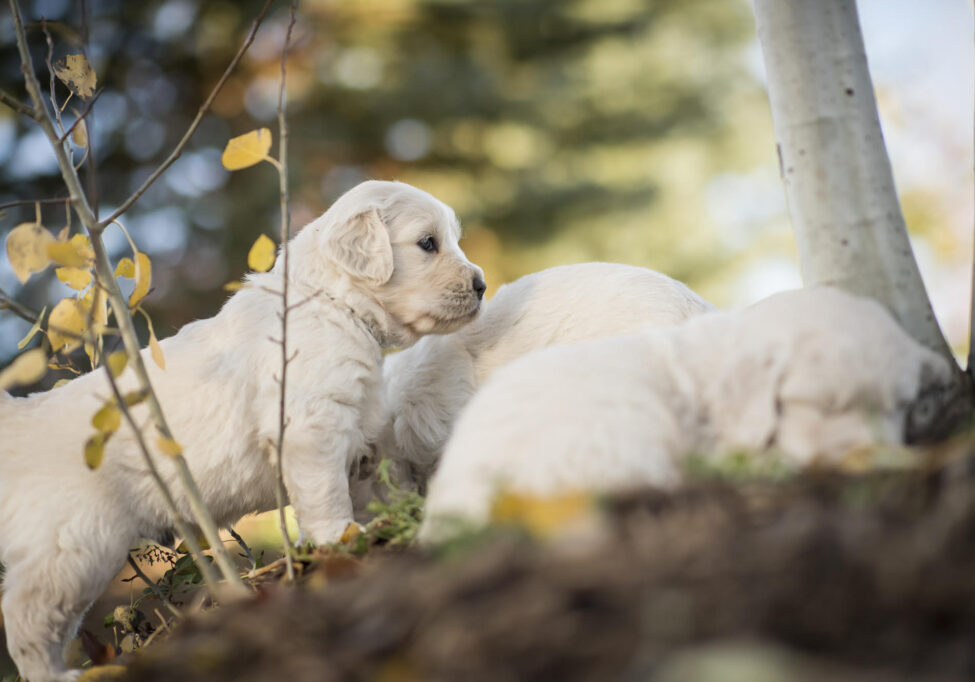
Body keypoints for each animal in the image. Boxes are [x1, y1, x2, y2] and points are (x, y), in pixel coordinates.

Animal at [0, 181, 486, 680]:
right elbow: (327, 496)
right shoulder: (311, 427)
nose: (481, 284)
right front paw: (341, 539)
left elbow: (378, 486)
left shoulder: (359, 432)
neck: (331, 303)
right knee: (26, 615)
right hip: (71, 544)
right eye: (427, 243)